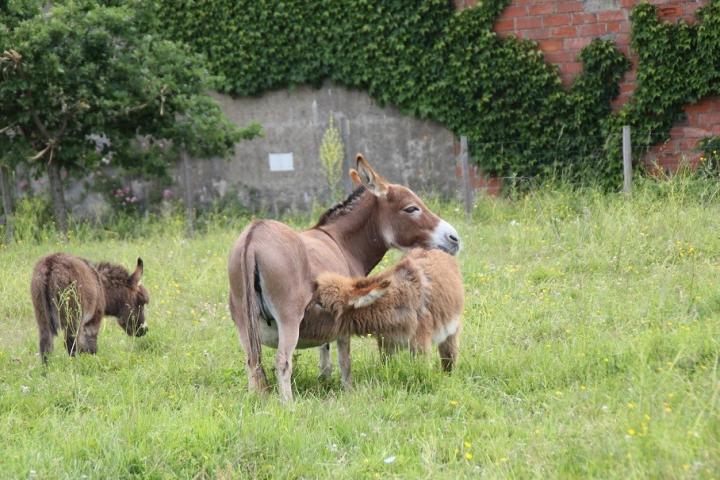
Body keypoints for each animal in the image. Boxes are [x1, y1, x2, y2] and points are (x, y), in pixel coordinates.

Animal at [312, 249, 464, 370]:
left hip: (451, 332)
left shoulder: (420, 345)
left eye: (321, 304)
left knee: (449, 358)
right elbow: (387, 367)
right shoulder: (387, 343)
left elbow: (421, 371)